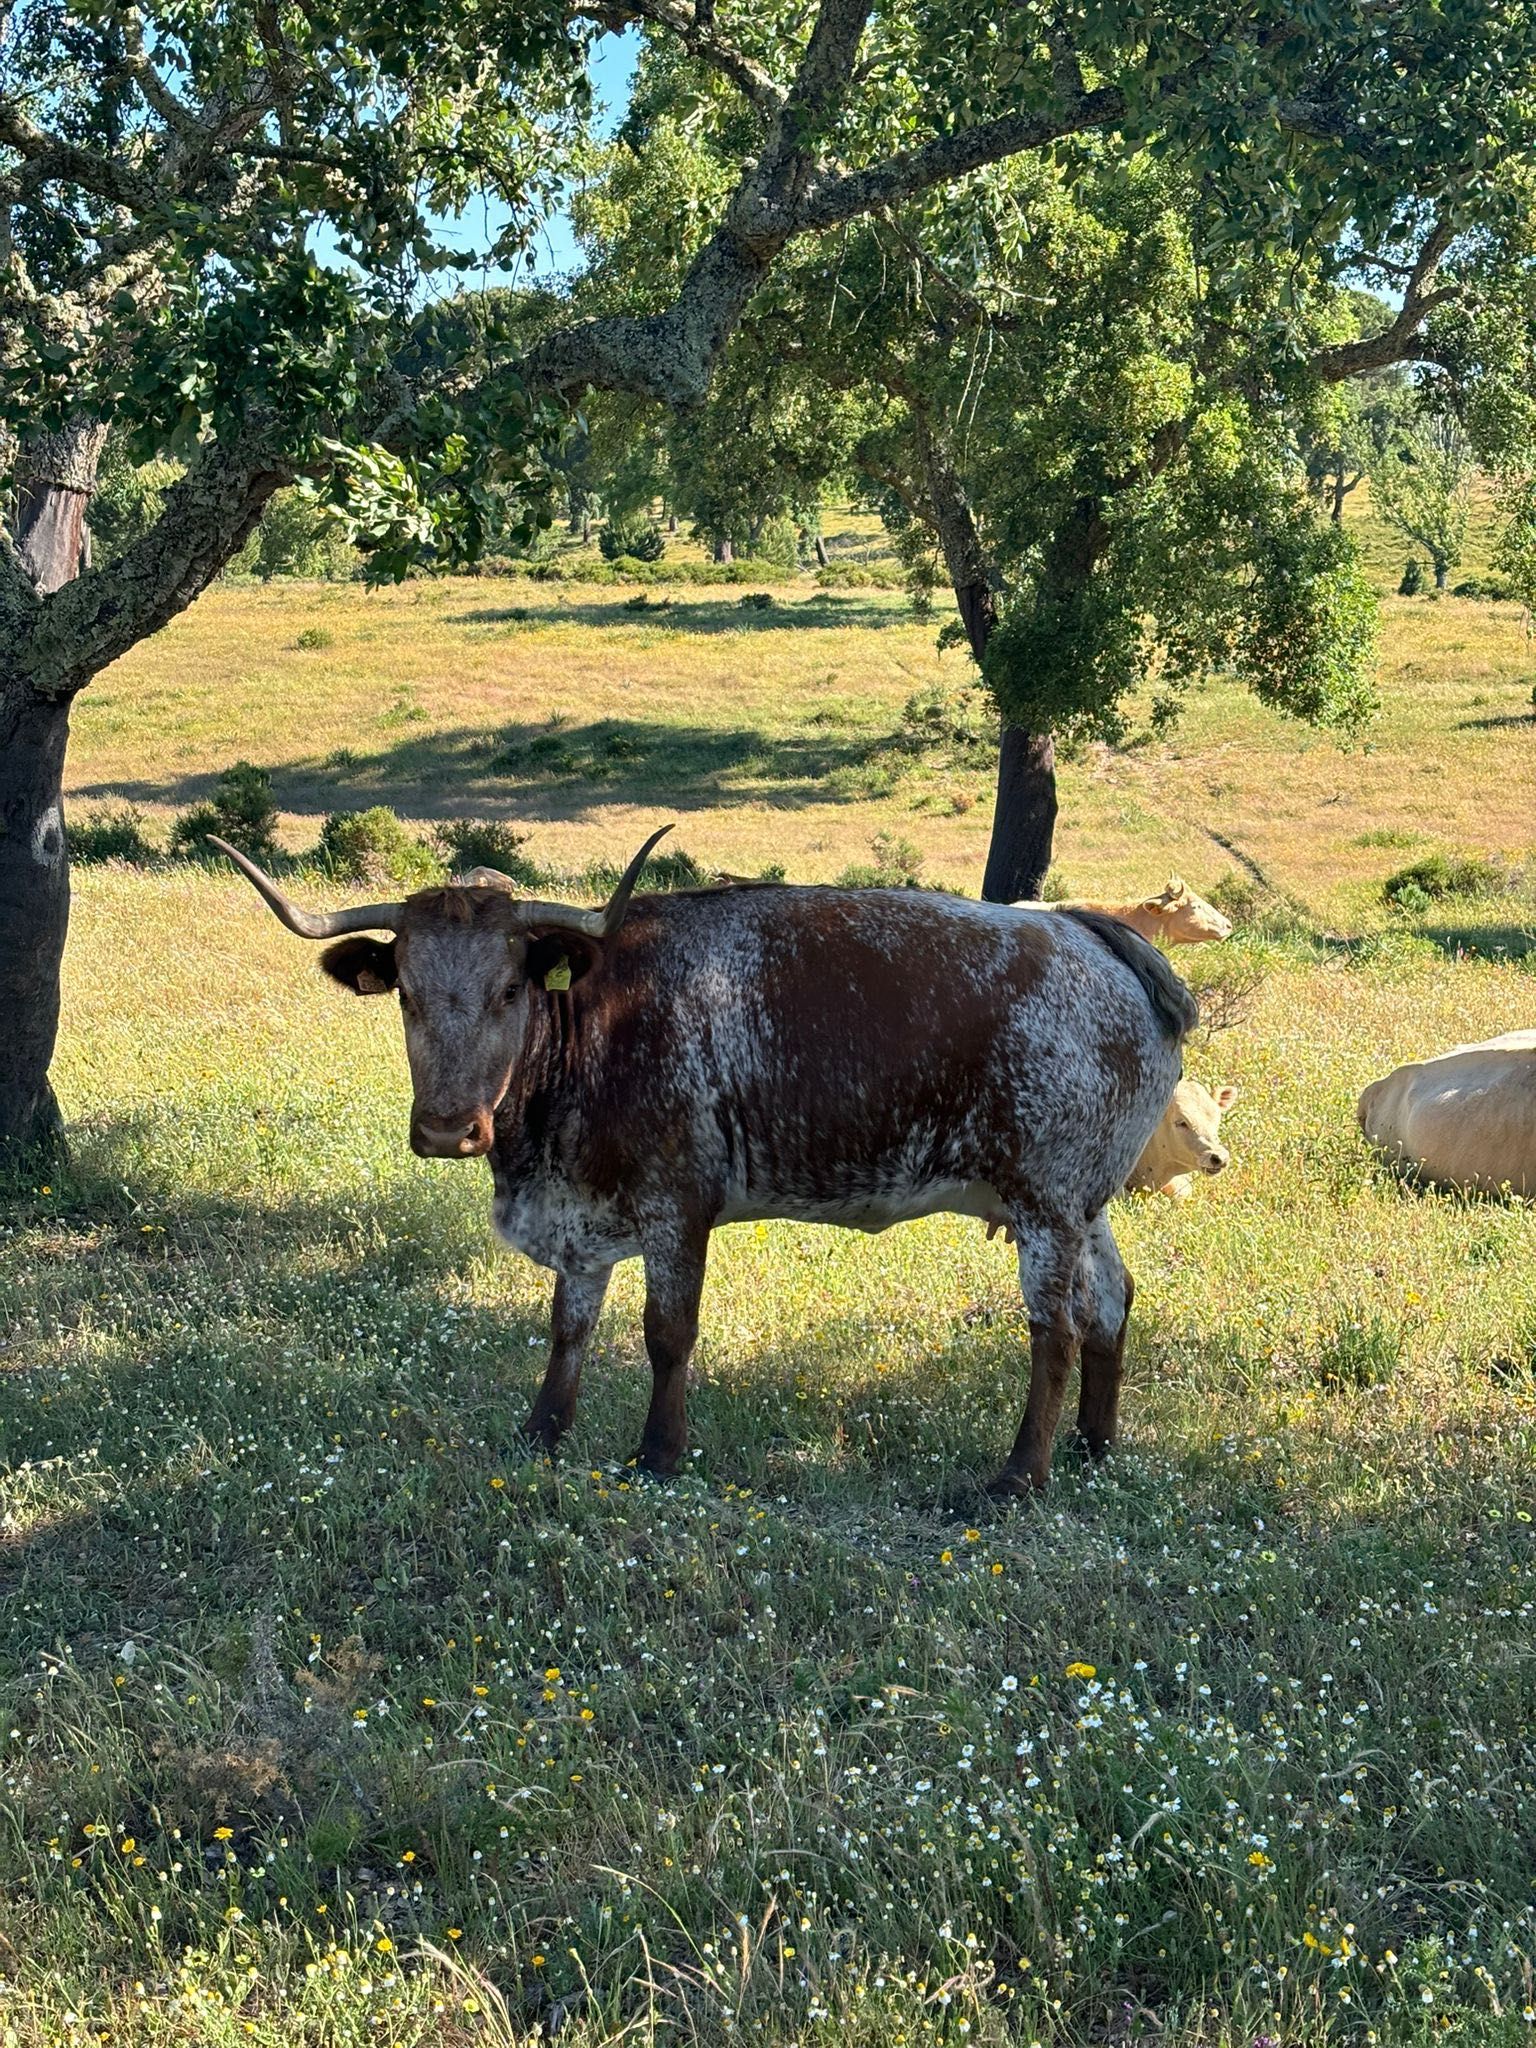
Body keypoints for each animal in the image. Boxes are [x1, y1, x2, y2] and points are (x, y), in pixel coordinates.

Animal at [217, 827, 1204, 1490]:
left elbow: (668, 1334)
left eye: (508, 990)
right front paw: (541, 1433)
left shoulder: (677, 1208)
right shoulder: (580, 1221)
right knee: (1111, 1306)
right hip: (1083, 1205)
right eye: (407, 995)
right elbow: (568, 1327)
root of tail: (1090, 935)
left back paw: (1019, 1478)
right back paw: (1093, 1449)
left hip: (1044, 1203)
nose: (448, 1129)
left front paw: (658, 1453)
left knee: (1056, 1331)